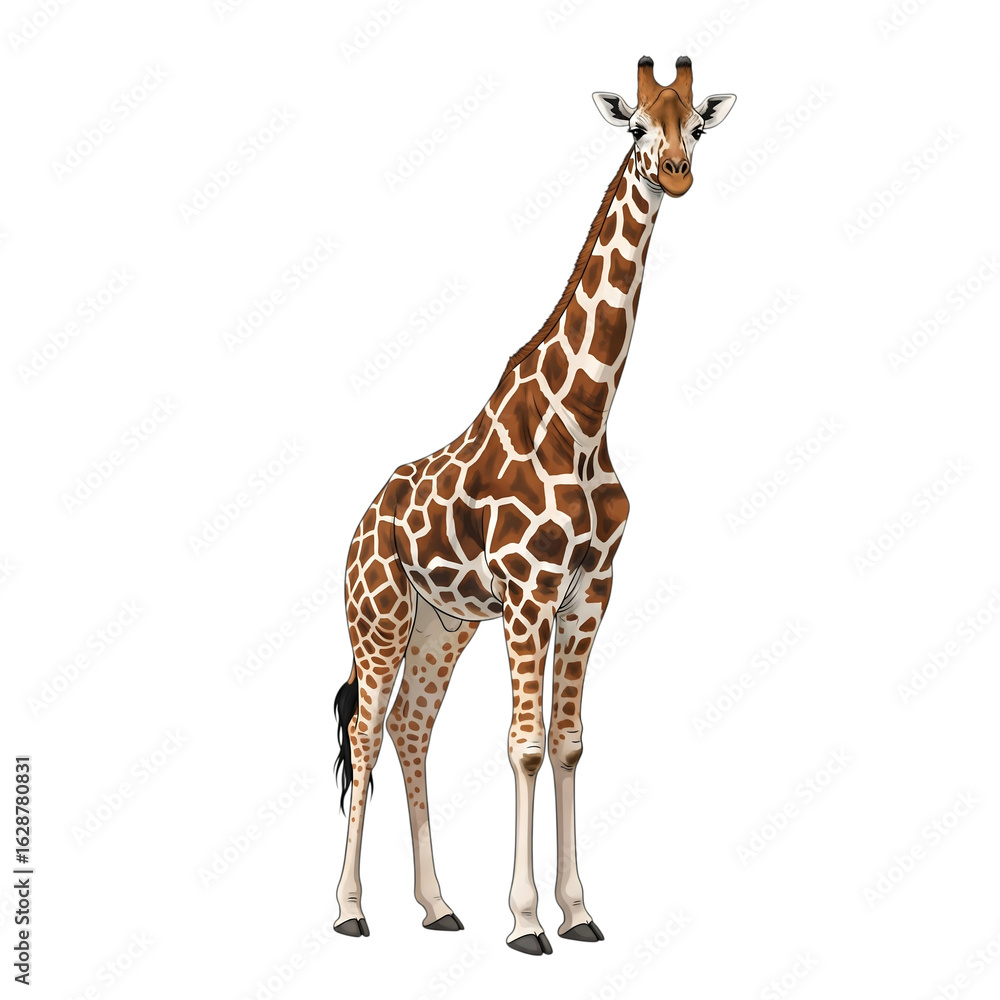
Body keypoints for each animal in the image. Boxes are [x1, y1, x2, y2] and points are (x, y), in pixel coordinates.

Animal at [333, 55, 736, 955]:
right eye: (635, 126)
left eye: (696, 124)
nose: (675, 173)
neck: (585, 419)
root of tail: (359, 526)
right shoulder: (528, 592)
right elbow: (522, 745)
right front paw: (524, 921)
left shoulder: (589, 594)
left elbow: (569, 742)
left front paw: (578, 912)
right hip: (379, 619)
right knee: (366, 737)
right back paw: (349, 911)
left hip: (442, 625)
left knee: (411, 730)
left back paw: (438, 907)